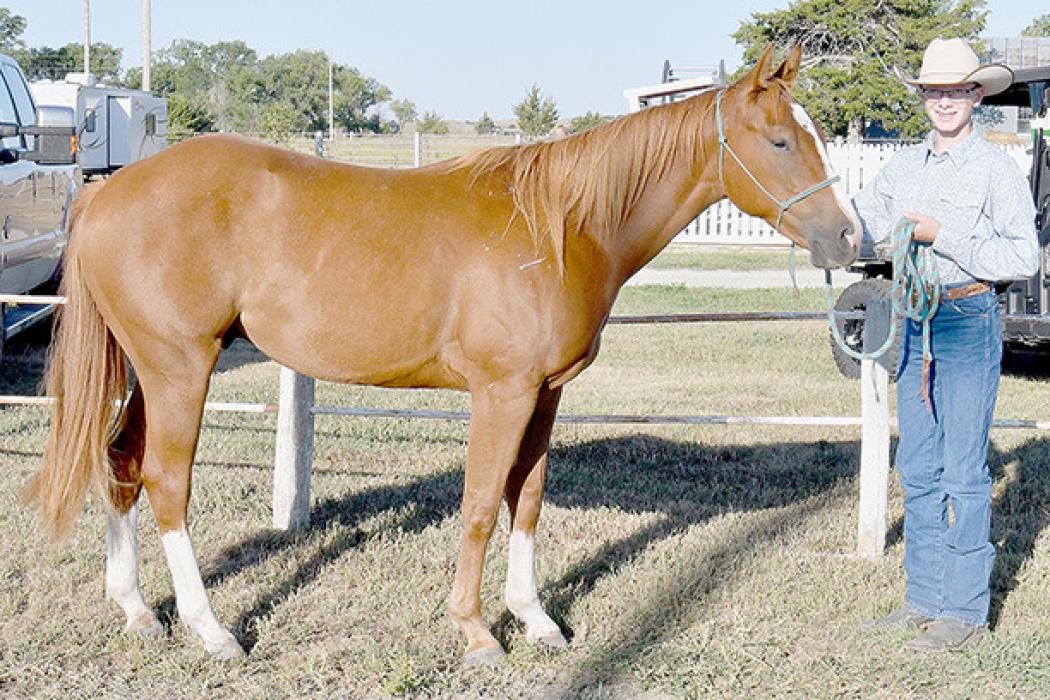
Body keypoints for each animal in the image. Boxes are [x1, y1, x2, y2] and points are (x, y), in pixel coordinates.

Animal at [24, 44, 860, 665]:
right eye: (780, 140)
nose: (850, 238)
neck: (562, 227)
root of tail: (107, 191)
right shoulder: (502, 391)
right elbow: (483, 503)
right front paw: (477, 631)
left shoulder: (545, 393)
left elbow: (527, 498)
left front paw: (537, 620)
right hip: (180, 368)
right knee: (165, 482)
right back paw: (211, 630)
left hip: (149, 369)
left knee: (120, 463)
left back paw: (138, 610)